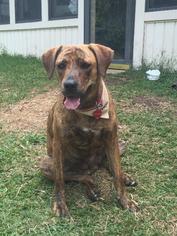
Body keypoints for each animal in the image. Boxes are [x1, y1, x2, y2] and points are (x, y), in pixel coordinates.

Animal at [40, 43, 138, 217]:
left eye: (85, 65)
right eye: (61, 65)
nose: (69, 85)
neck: (87, 107)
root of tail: (92, 167)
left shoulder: (111, 139)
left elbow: (116, 173)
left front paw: (125, 200)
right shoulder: (58, 144)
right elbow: (59, 180)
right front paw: (60, 203)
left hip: (110, 147)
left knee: (109, 166)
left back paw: (125, 177)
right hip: (46, 163)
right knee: (80, 176)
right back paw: (91, 188)